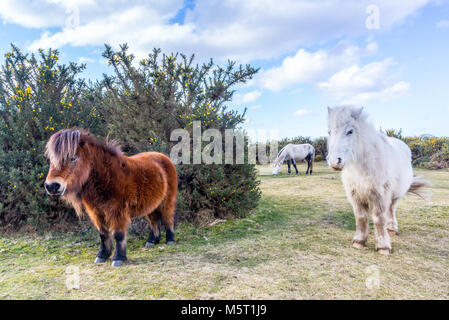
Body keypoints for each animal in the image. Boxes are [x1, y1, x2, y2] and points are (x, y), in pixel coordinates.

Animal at [44, 129, 178, 266]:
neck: (107, 177)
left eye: (73, 158)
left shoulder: (118, 212)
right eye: (51, 160)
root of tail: (163, 157)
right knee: (154, 220)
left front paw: (118, 258)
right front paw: (102, 255)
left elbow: (118, 234)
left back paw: (170, 239)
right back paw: (152, 241)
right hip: (150, 204)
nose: (51, 186)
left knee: (168, 217)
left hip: (167, 200)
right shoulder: (96, 213)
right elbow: (103, 234)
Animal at [326, 106, 428, 254]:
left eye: (350, 131)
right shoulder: (356, 195)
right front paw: (359, 241)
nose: (335, 161)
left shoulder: (379, 195)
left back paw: (391, 229)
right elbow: (361, 217)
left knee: (391, 210)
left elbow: (379, 218)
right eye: (329, 132)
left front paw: (383, 246)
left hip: (394, 195)